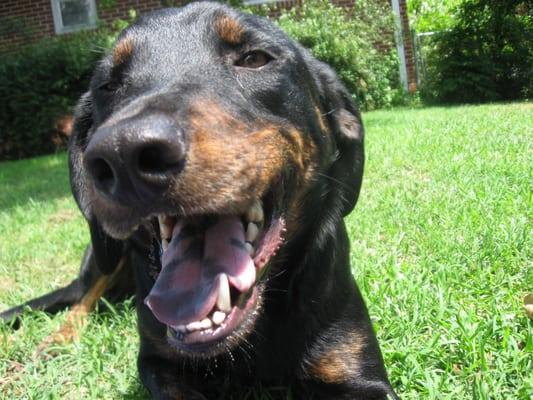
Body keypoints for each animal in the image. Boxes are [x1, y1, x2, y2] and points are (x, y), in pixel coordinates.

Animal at [1, 3, 400, 400]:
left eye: (255, 58)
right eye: (107, 85)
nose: (122, 153)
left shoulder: (356, 368)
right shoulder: (157, 362)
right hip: (104, 255)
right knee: (82, 299)